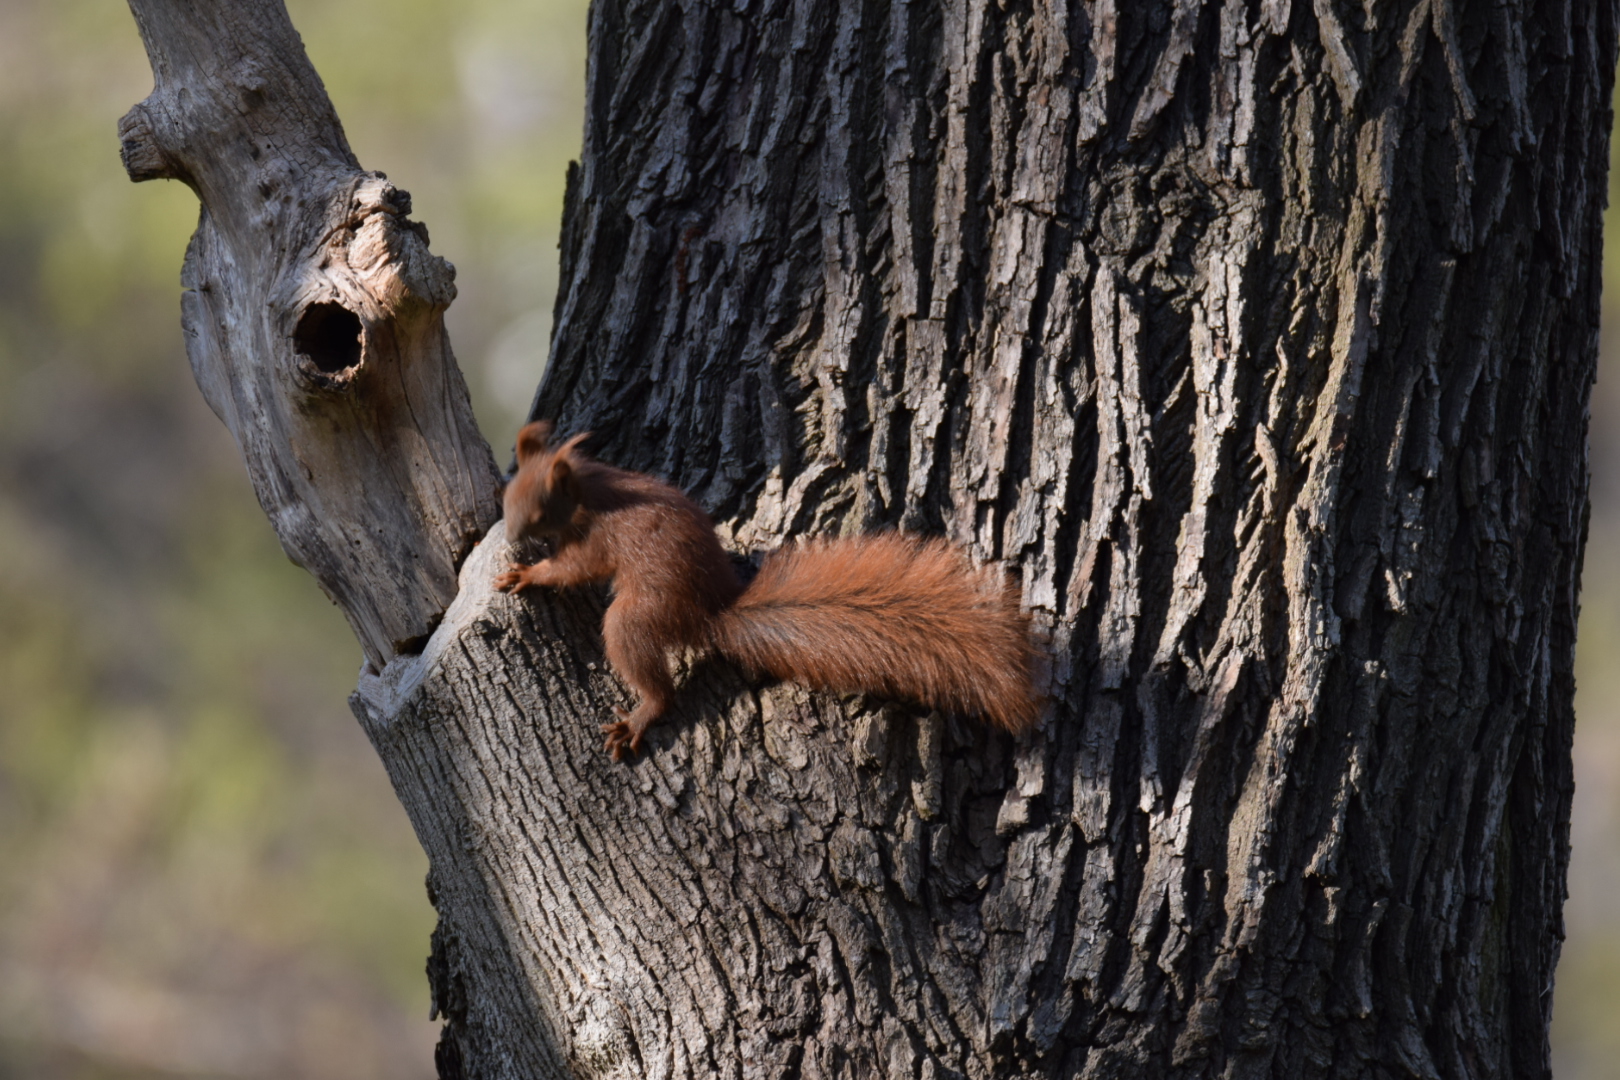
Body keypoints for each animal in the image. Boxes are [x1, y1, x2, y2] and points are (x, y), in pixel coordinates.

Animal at [492, 420, 1043, 761]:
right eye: (507, 493)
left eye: (539, 510)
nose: (513, 533)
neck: (592, 490)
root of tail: (709, 613)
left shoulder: (600, 538)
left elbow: (573, 568)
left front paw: (528, 574)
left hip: (637, 615)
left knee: (655, 680)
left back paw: (641, 715)